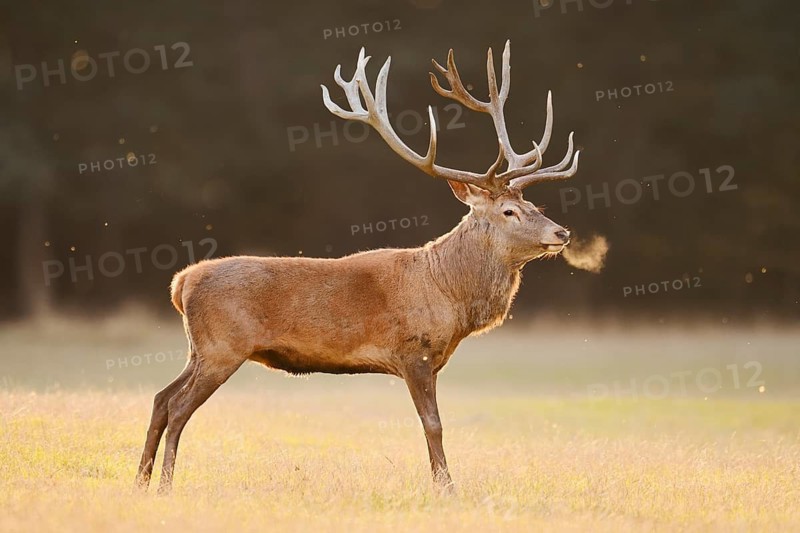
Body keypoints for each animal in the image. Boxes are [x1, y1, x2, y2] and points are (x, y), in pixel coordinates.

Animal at [135, 40, 580, 494]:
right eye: (509, 211)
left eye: (536, 205)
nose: (562, 232)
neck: (449, 294)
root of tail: (182, 282)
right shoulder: (414, 352)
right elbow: (433, 424)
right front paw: (447, 488)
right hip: (222, 346)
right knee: (179, 407)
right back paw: (165, 484)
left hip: (199, 349)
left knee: (160, 398)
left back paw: (140, 481)